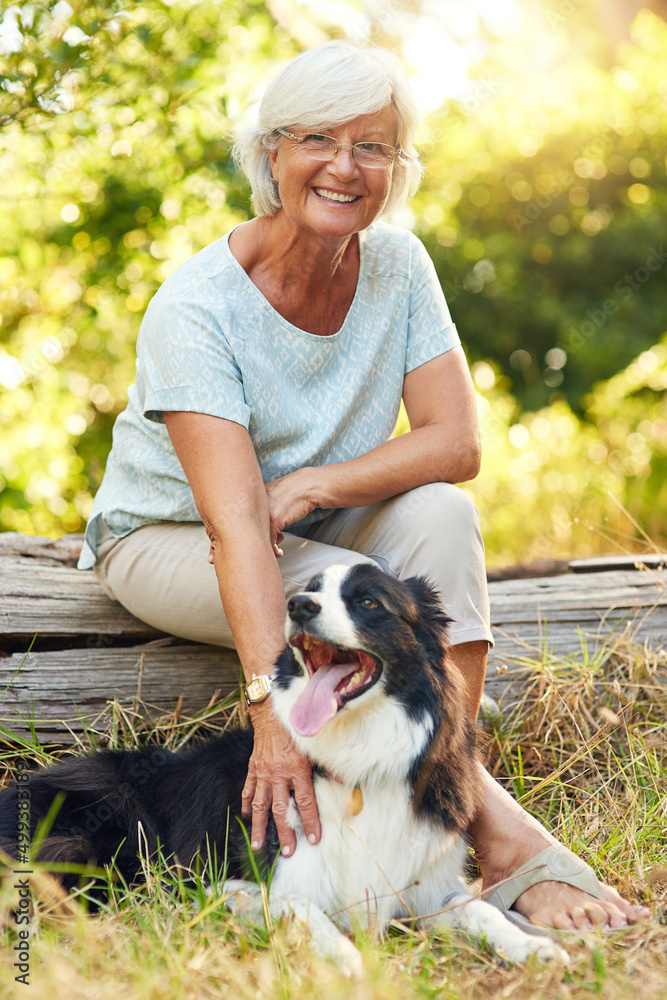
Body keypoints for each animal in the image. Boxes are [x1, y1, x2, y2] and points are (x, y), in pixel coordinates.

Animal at [0, 568, 568, 972]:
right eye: (309, 590)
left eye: (368, 602)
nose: (298, 605)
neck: (355, 766)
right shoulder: (223, 884)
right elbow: (308, 912)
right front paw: (353, 964)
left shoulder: (423, 887)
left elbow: (477, 907)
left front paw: (533, 947)